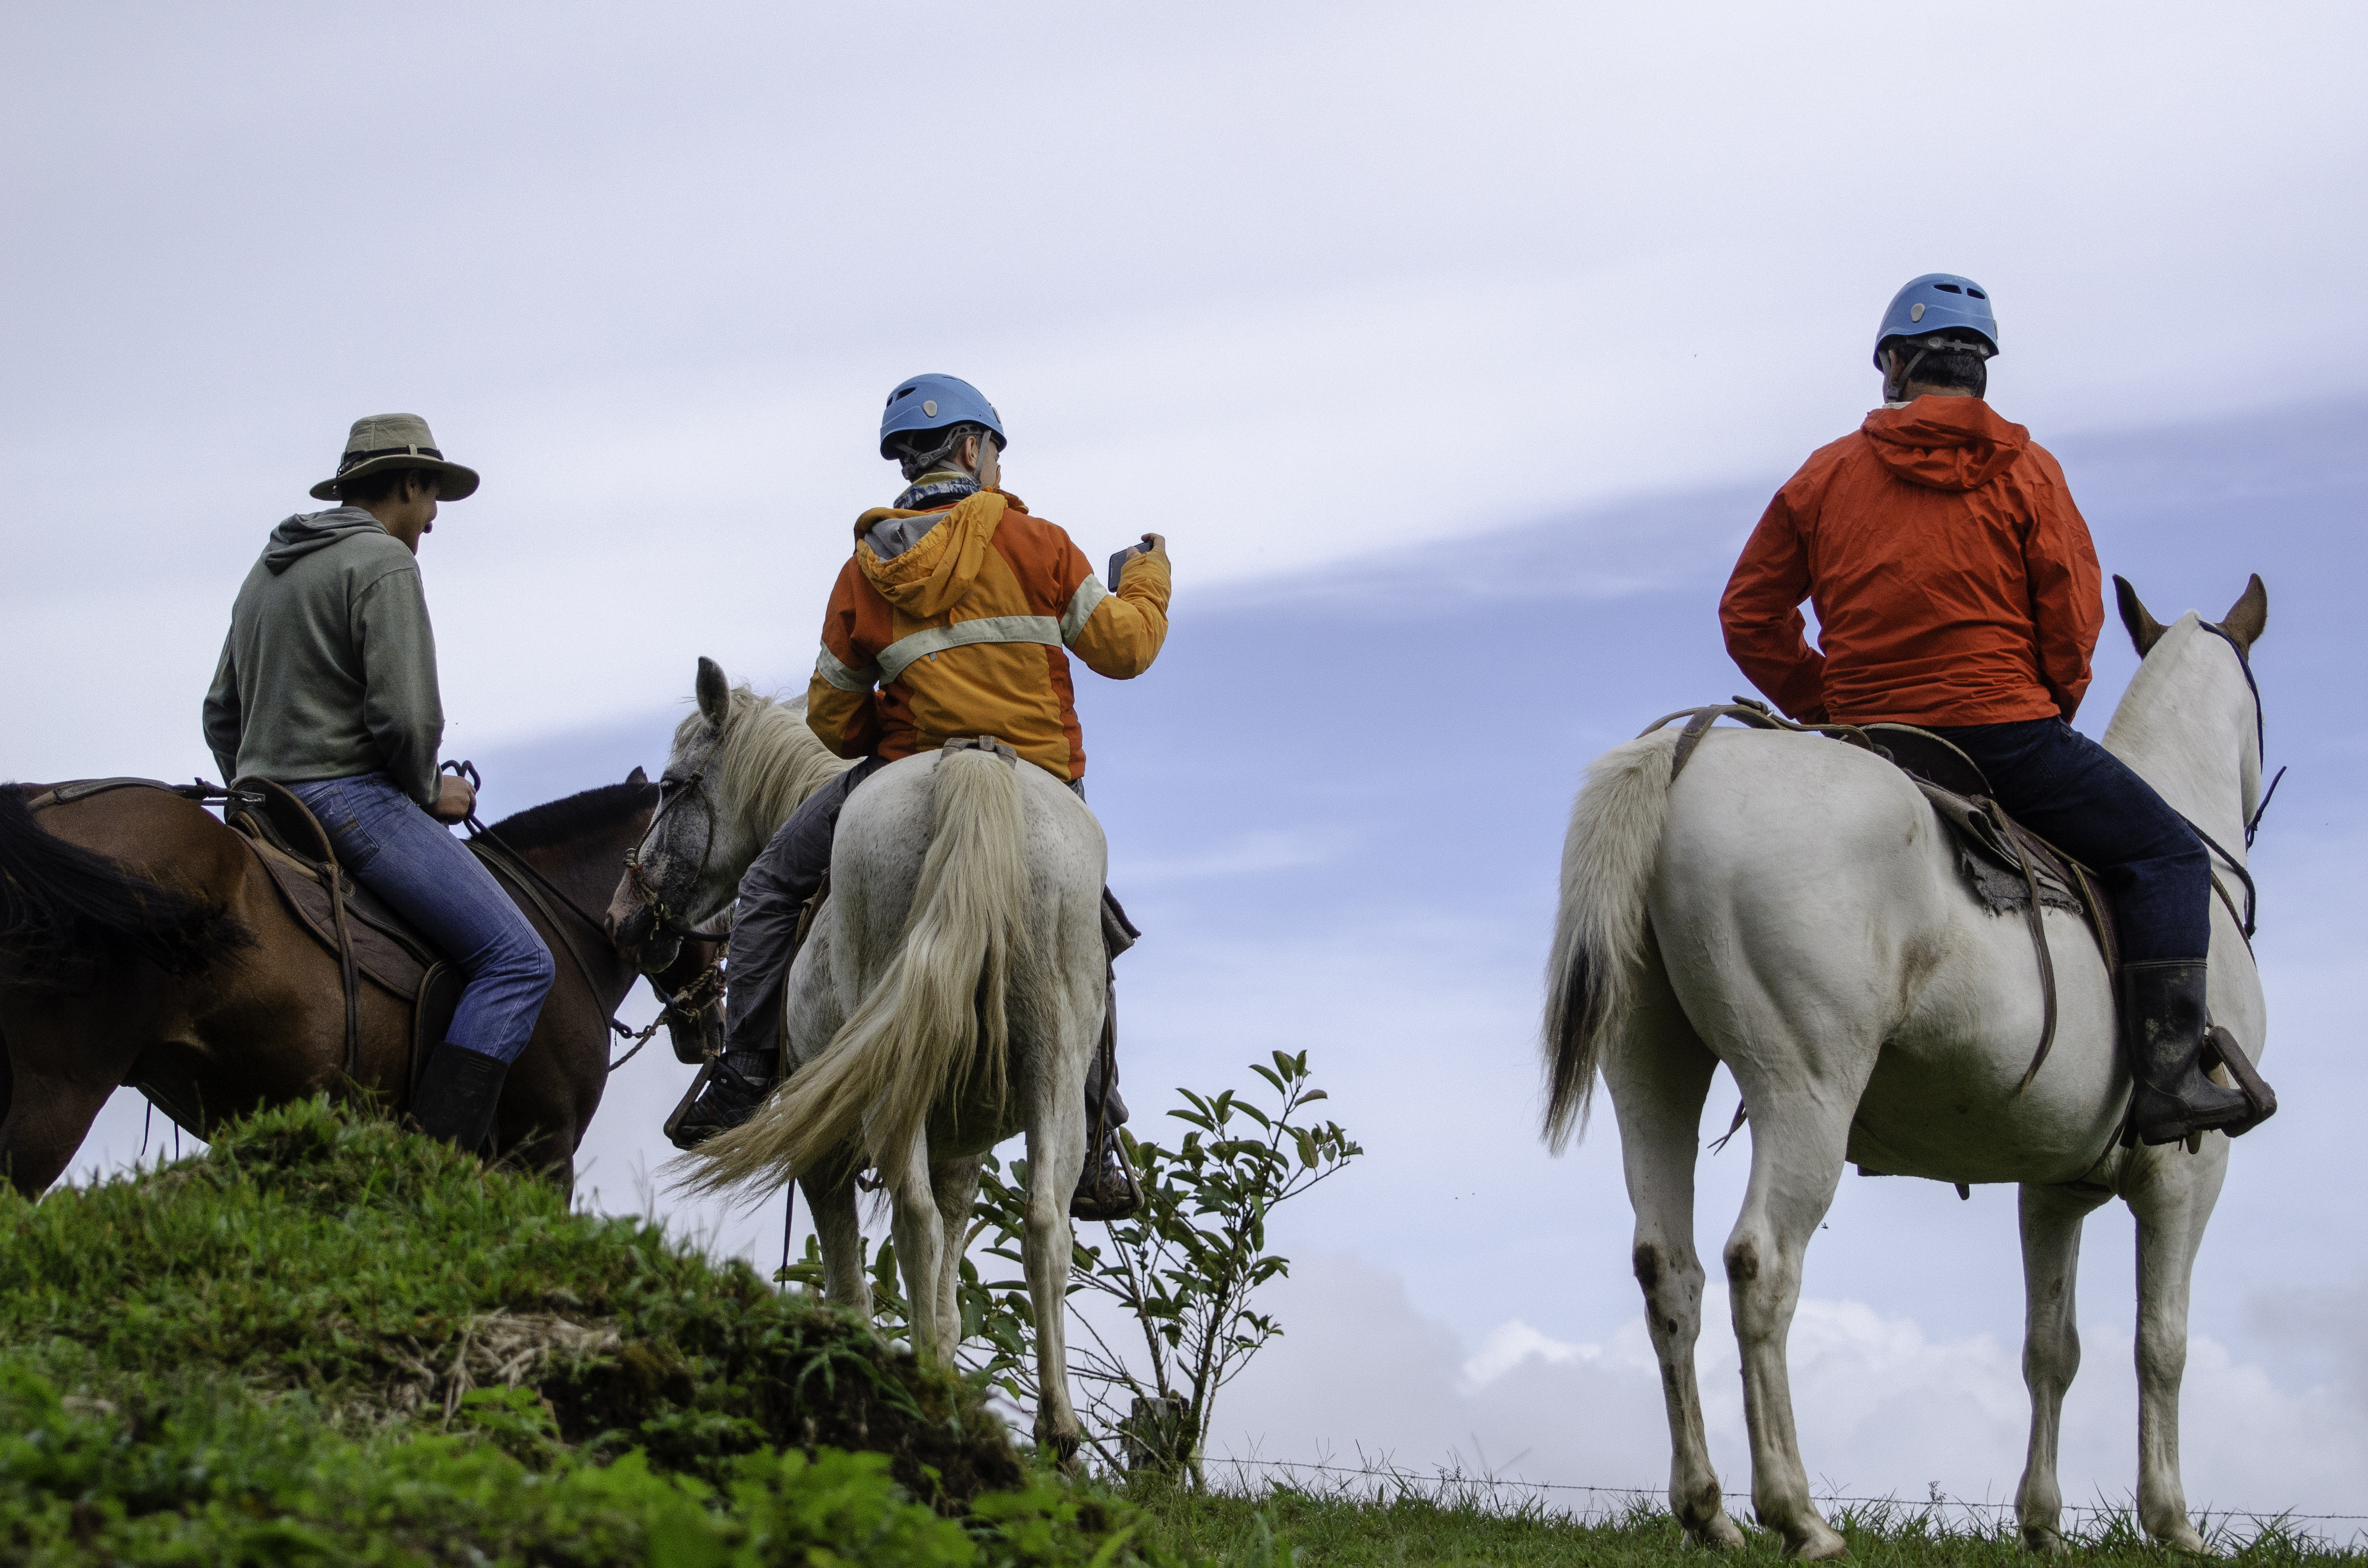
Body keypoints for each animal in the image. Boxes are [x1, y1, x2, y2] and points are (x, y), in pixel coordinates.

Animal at [607, 657, 1108, 1459]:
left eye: (668, 784)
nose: (623, 919)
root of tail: (972, 764)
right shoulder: (961, 1150)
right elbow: (947, 1298)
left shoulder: (823, 1144)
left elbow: (849, 1289)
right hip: (1054, 1076)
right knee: (1042, 1226)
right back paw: (1056, 1430)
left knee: (915, 1219)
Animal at [1542, 576, 2272, 1557]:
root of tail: (1690, 752)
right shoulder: (2189, 1173)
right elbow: (2161, 1342)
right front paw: (2173, 1523)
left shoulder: (2054, 1187)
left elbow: (2052, 1348)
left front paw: (2042, 1526)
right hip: (1805, 1090)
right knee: (1761, 1266)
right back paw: (1798, 1513)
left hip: (1651, 1071)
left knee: (1671, 1269)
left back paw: (1708, 1511)